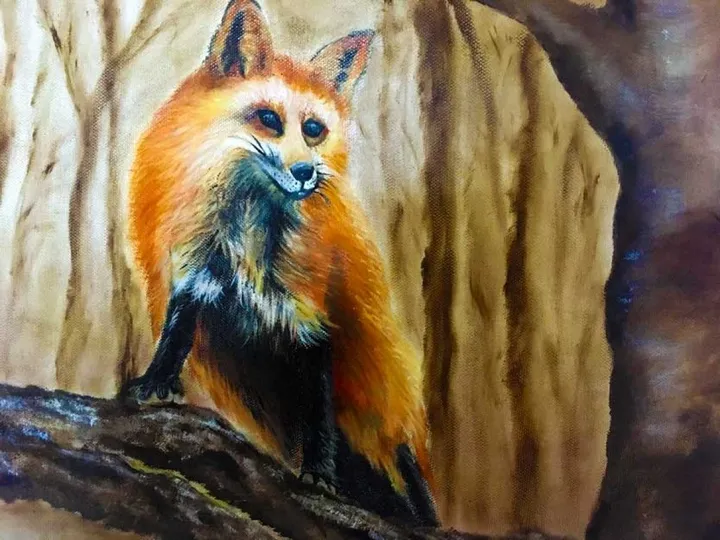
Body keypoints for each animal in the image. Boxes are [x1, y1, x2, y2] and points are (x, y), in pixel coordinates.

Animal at [122, 0, 437, 526]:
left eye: (314, 130)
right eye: (268, 118)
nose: (306, 173)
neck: (248, 237)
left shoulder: (312, 320)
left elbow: (319, 415)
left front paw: (319, 475)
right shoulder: (195, 272)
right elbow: (176, 333)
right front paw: (154, 384)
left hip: (382, 404)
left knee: (406, 468)